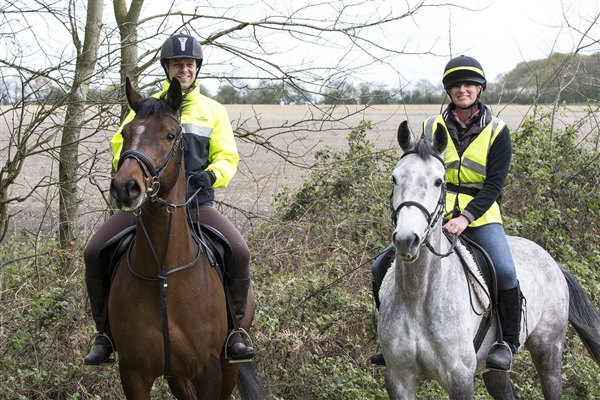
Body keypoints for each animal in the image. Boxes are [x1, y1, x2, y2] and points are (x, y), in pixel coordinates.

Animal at [108, 76, 262, 398]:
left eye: (170, 135)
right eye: (125, 133)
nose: (125, 187)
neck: (163, 272)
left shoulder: (208, 370)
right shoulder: (133, 372)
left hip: (228, 365)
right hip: (176, 375)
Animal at [378, 120, 600, 398]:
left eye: (439, 181)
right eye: (394, 178)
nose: (407, 240)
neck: (417, 297)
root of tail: (552, 261)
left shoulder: (460, 378)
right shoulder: (399, 379)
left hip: (548, 350)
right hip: (492, 369)